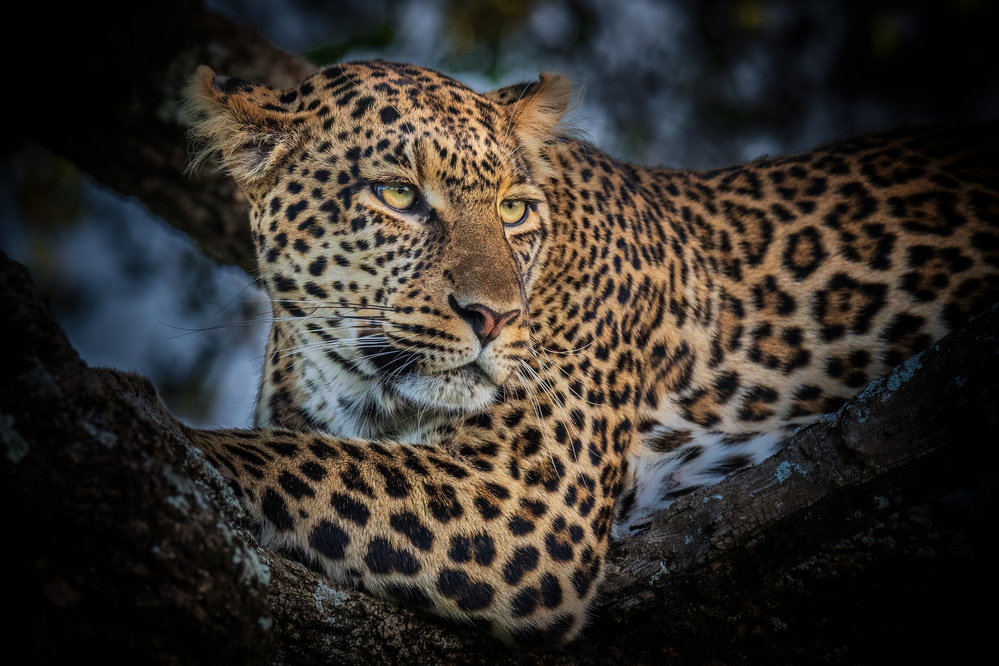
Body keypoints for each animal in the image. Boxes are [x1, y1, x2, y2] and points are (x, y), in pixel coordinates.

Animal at [181, 58, 999, 644]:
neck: (354, 384)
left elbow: (279, 458)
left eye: (514, 209)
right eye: (397, 195)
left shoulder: (528, 498)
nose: (495, 317)